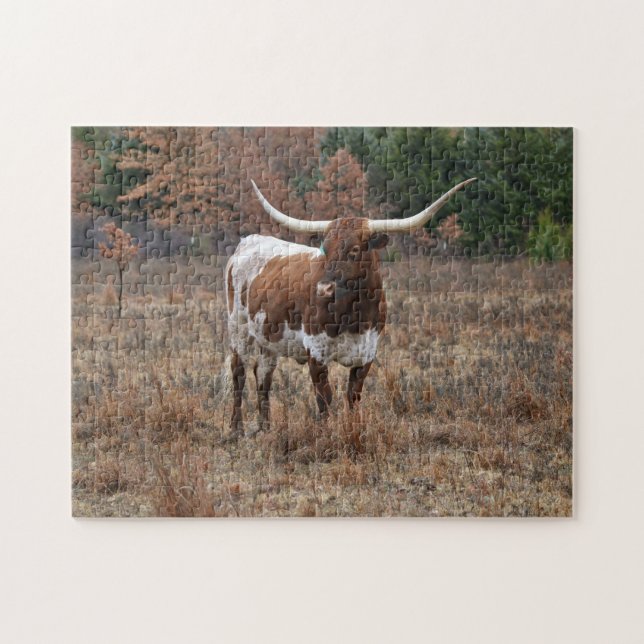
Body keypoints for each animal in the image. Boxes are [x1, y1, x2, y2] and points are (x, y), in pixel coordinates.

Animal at [224, 177, 476, 437]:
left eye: (354, 250)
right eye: (325, 249)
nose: (323, 288)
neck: (354, 315)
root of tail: (250, 240)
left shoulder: (366, 354)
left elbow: (353, 397)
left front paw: (355, 430)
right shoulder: (316, 353)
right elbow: (324, 399)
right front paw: (326, 434)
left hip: (268, 337)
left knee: (263, 374)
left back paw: (266, 428)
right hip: (238, 329)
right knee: (238, 373)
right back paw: (236, 428)